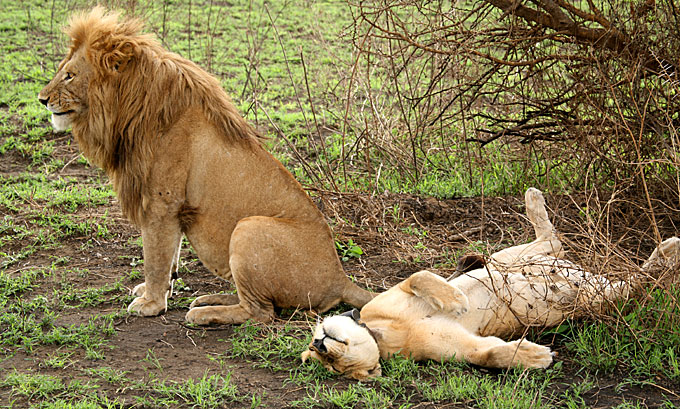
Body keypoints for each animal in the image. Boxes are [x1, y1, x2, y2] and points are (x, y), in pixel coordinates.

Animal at [37, 7, 373, 324]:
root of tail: (340, 280)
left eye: (69, 75)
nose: (41, 99)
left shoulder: (161, 201)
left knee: (260, 313)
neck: (130, 108)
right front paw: (157, 291)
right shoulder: (169, 207)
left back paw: (204, 314)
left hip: (249, 228)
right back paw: (210, 299)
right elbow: (170, 254)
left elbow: (154, 256)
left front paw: (151, 304)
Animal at [301, 188, 680, 380]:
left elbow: (419, 276)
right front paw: (534, 356)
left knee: (551, 240)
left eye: (322, 353)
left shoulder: (393, 292)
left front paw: (455, 299)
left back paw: (532, 199)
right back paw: (669, 252)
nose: (321, 345)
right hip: (596, 298)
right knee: (637, 284)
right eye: (333, 365)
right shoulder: (463, 348)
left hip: (508, 258)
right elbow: (491, 354)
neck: (385, 333)